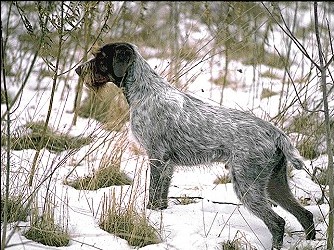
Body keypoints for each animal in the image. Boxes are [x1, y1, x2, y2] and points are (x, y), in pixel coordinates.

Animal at [75, 42, 316, 249]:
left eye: (100, 57)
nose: (78, 70)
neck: (145, 92)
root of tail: (275, 132)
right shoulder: (167, 164)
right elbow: (161, 196)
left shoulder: (156, 158)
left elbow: (153, 194)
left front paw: (150, 215)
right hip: (274, 183)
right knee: (305, 215)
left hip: (248, 185)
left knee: (277, 222)